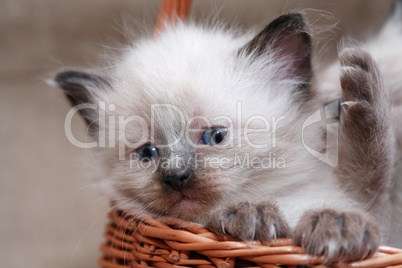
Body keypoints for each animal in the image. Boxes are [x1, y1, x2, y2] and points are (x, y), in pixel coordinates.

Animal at [54, 2, 402, 262]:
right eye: (147, 153)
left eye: (215, 136)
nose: (176, 177)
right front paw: (254, 219)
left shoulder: (373, 208)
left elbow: (369, 172)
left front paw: (336, 225)